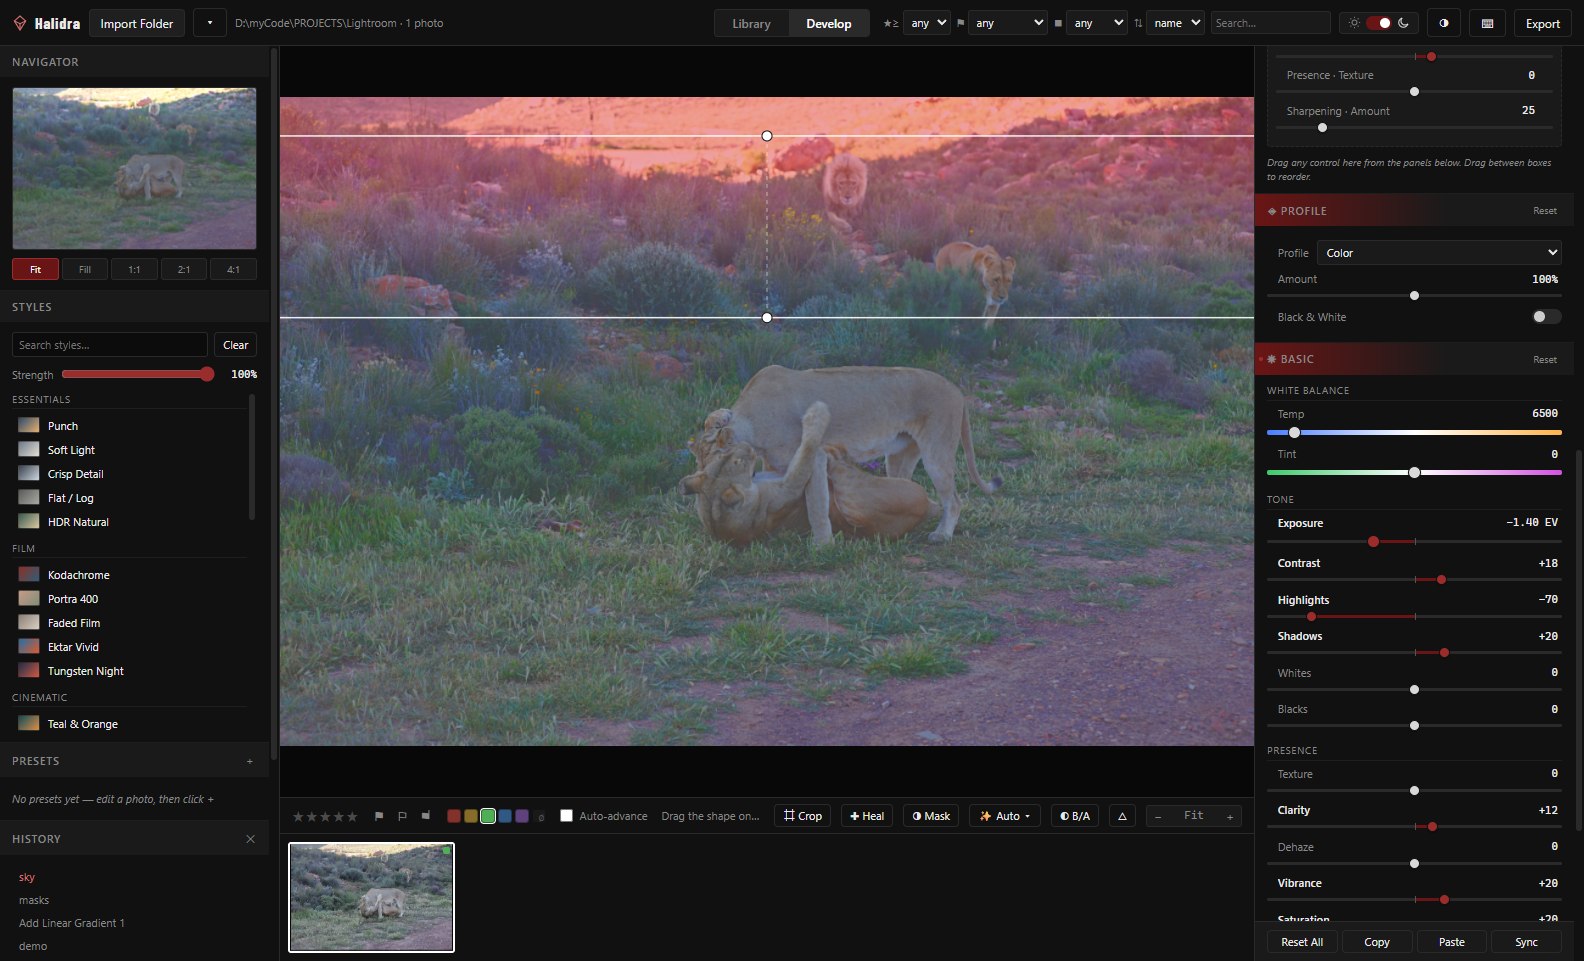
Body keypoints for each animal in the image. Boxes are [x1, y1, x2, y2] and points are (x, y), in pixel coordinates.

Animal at [691, 366, 1000, 543]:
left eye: (724, 466)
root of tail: (956, 390)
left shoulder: (814, 458)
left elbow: (816, 503)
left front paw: (823, 545)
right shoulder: (777, 466)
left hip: (937, 452)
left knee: (955, 500)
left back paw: (942, 535)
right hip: (899, 457)